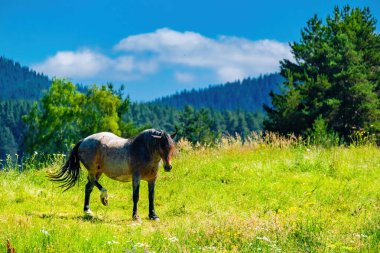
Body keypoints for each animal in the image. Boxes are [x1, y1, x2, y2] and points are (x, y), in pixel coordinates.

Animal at [48, 129, 177, 220]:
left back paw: (88, 211)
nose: (168, 167)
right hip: (93, 170)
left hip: (99, 171)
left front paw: (153, 216)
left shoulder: (152, 179)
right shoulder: (136, 177)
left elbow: (151, 196)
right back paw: (104, 197)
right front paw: (135, 216)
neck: (145, 150)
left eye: (172, 147)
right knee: (92, 182)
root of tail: (83, 140)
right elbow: (136, 196)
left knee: (89, 187)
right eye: (162, 146)